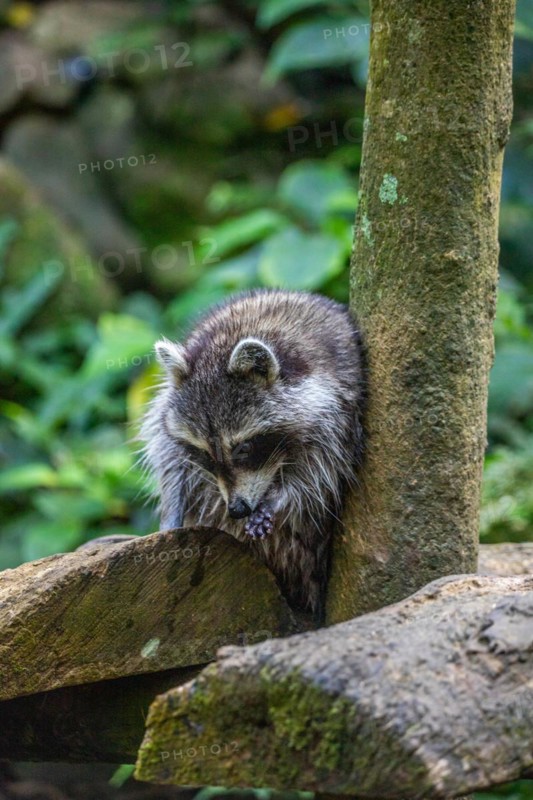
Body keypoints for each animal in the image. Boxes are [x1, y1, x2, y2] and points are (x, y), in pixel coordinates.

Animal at [141, 289, 365, 618]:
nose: (237, 509)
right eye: (206, 454)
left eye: (244, 448)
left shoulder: (341, 409)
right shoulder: (167, 405)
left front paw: (280, 498)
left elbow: (320, 476)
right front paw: (172, 505)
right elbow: (169, 455)